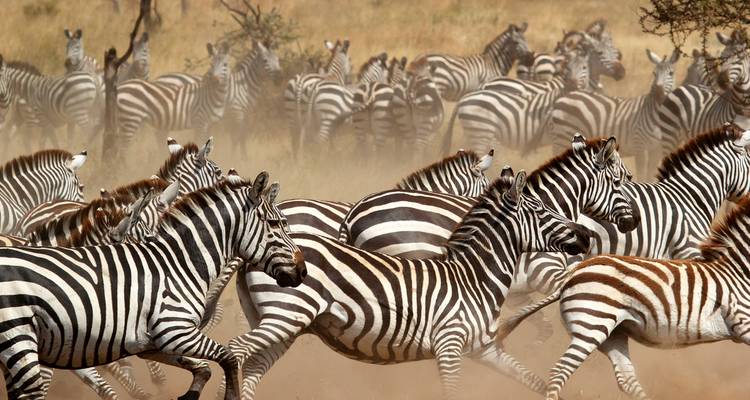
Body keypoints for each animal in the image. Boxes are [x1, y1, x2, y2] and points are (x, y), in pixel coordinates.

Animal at [0, 171, 305, 399]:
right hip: (19, 339)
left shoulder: (150, 343)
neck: (179, 265)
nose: (302, 271)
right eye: (276, 224)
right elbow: (228, 358)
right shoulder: (176, 331)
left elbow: (203, 369)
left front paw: (186, 396)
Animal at [224, 169, 593, 399]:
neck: (474, 276)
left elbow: (536, 381)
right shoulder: (449, 345)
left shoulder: (485, 349)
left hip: (283, 323)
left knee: (253, 367)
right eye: (542, 210)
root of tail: (252, 253)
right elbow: (453, 393)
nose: (586, 236)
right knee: (235, 351)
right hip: (285, 315)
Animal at [494, 194, 750, 400]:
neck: (738, 271)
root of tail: (573, 274)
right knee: (560, 372)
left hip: (613, 332)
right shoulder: (743, 323)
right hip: (591, 326)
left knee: (626, 380)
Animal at [544, 49, 680, 177]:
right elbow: (642, 173)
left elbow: (650, 173)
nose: (657, 94)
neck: (656, 115)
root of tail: (561, 99)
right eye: (654, 73)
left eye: (671, 73)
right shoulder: (639, 146)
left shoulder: (655, 150)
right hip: (563, 136)